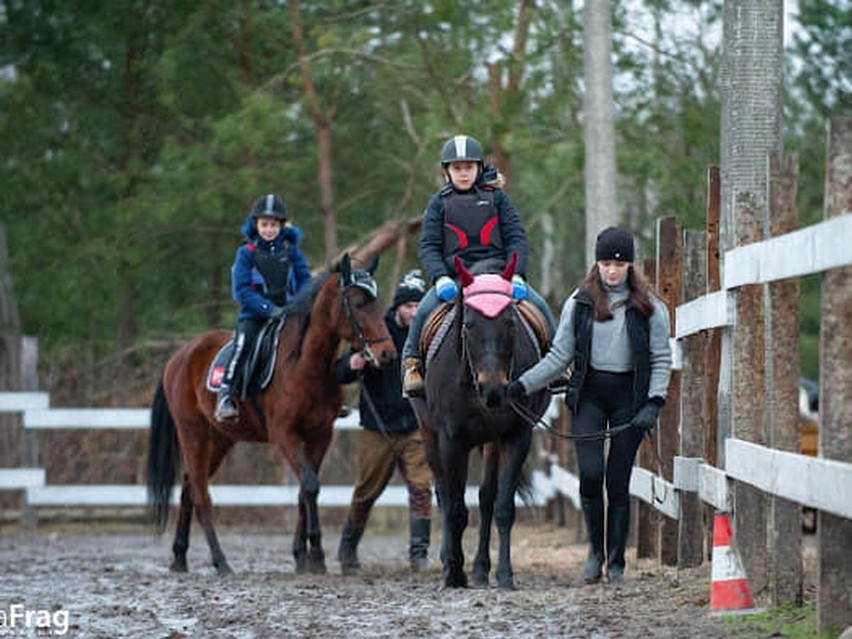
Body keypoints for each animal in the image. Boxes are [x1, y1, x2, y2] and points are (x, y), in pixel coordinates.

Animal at [147, 254, 396, 576]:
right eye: (357, 302)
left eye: (377, 302)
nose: (388, 354)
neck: (305, 364)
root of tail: (179, 355)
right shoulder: (285, 435)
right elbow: (310, 486)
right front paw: (316, 555)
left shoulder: (320, 435)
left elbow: (305, 489)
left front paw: (302, 557)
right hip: (193, 433)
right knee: (201, 495)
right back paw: (221, 561)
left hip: (219, 439)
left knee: (189, 487)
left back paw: (179, 557)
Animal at [412, 256, 544, 592]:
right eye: (469, 325)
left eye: (510, 322)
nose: (493, 389)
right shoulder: (451, 440)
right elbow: (456, 508)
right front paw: (454, 573)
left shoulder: (516, 436)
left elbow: (503, 507)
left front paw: (505, 574)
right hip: (429, 435)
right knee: (444, 495)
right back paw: (450, 561)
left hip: (491, 442)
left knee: (486, 499)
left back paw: (482, 569)